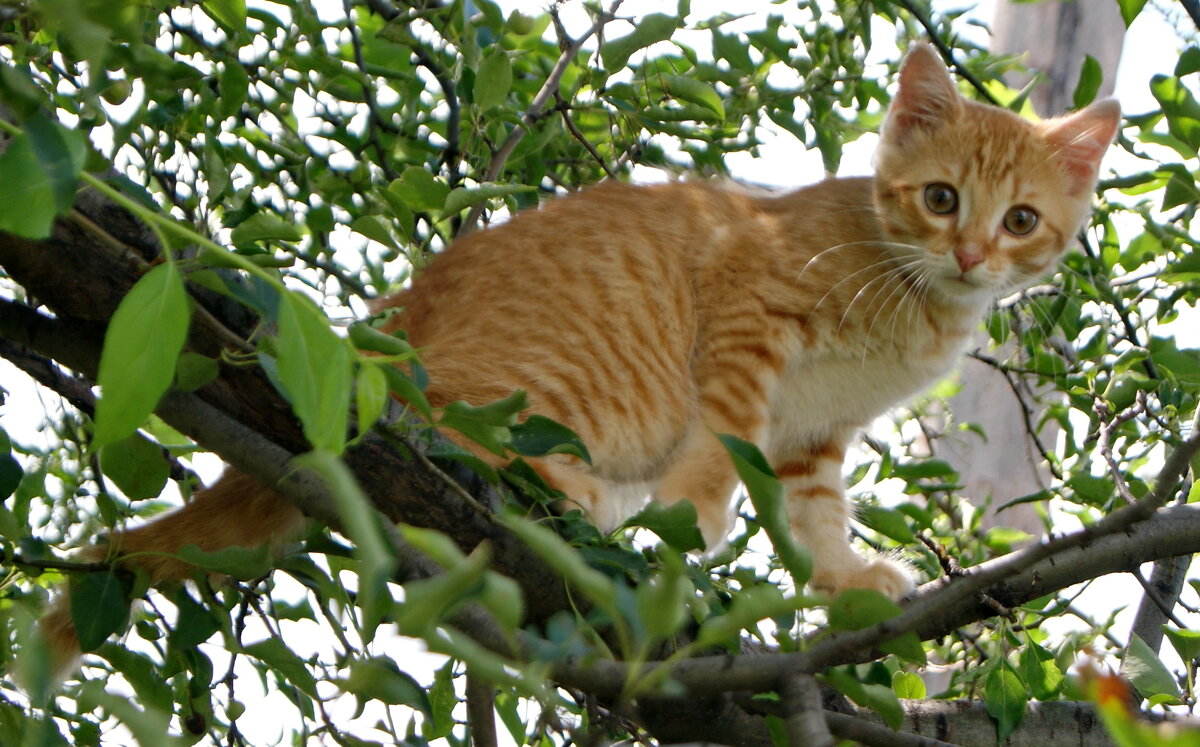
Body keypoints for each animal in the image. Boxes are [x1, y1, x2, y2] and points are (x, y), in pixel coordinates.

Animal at [42, 42, 1118, 667]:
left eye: (1021, 221)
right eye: (940, 198)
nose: (971, 254)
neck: (912, 293)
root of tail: (386, 328)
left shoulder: (815, 429)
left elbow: (810, 509)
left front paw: (843, 575)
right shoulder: (748, 309)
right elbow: (724, 436)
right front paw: (698, 509)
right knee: (444, 431)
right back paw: (560, 487)